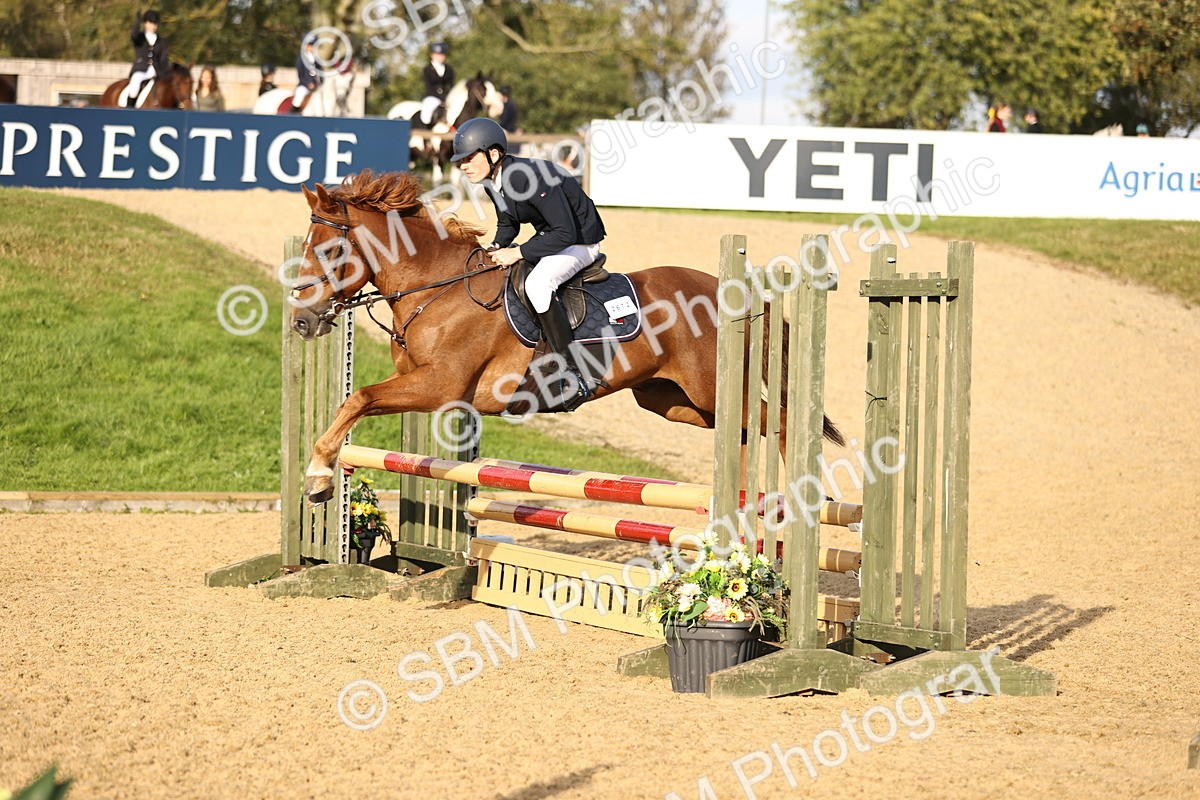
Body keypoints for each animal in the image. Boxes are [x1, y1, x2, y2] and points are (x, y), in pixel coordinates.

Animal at [290, 170, 842, 504]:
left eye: (331, 251)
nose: (301, 322)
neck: (437, 290)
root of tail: (732, 290)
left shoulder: (440, 387)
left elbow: (358, 398)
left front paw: (318, 475)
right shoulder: (421, 384)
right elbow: (355, 402)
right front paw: (323, 473)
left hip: (708, 387)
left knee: (781, 421)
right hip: (671, 399)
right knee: (747, 430)